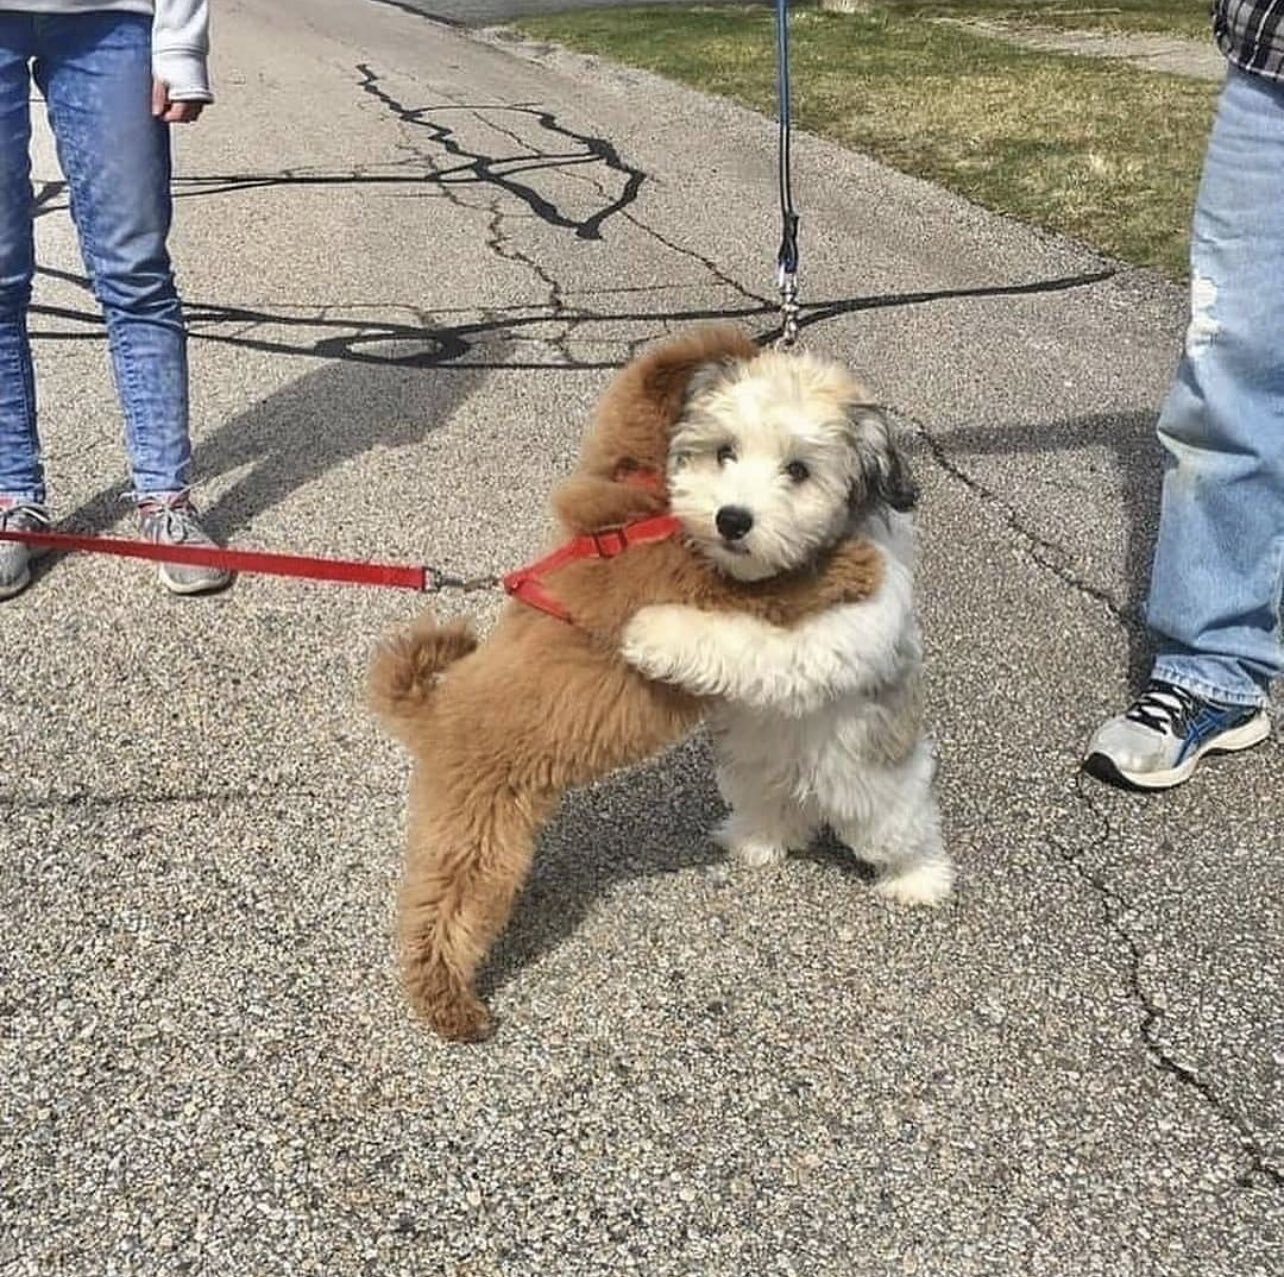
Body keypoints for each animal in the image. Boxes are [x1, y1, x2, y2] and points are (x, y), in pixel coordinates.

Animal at [369, 327, 883, 1037]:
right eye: (728, 449)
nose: (731, 518)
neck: (635, 510)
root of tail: (432, 712)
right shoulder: (703, 587)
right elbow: (779, 587)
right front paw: (852, 562)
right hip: (479, 837)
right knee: (442, 914)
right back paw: (450, 1004)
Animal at [621, 349, 955, 908]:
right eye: (725, 452)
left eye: (798, 470)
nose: (732, 519)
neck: (788, 571)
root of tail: (809, 788)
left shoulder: (834, 634)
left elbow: (749, 642)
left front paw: (654, 631)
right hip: (752, 771)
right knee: (773, 810)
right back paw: (756, 840)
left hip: (878, 788)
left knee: (904, 830)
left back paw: (919, 879)